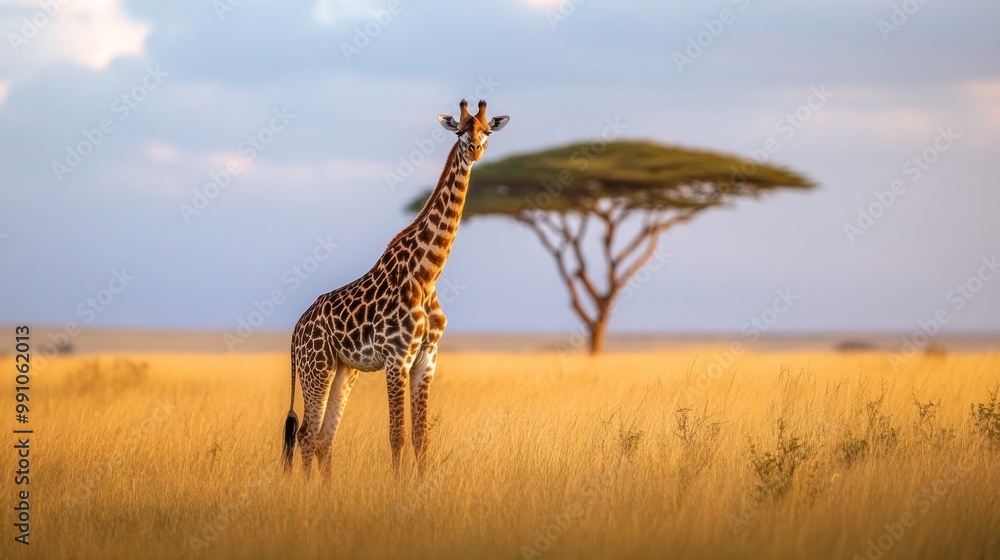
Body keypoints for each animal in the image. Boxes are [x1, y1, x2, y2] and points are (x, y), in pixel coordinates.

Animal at [282, 100, 509, 477]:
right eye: (461, 131)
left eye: (487, 130)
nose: (475, 149)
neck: (427, 274)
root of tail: (296, 331)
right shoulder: (396, 358)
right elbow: (397, 436)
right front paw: (398, 487)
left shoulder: (427, 358)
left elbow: (421, 437)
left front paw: (419, 486)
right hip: (317, 367)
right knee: (305, 435)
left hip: (344, 370)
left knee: (324, 438)